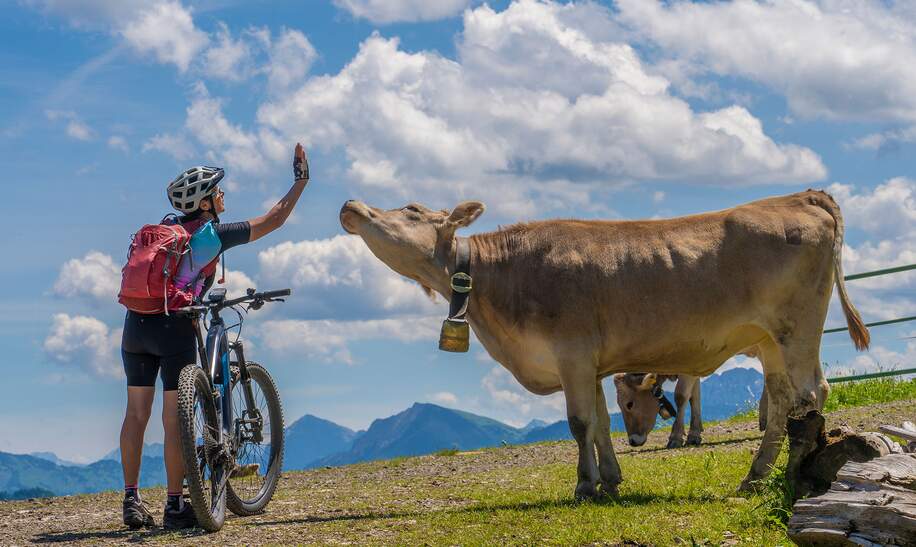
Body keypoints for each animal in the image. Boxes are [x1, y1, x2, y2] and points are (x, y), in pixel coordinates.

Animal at [339, 190, 869, 499]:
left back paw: (793, 478)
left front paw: (583, 486)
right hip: (770, 340)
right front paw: (609, 480)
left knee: (809, 394)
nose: (352, 206)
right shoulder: (587, 364)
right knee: (781, 400)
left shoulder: (571, 352)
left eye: (410, 210)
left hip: (797, 328)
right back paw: (755, 477)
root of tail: (800, 196)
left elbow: (578, 423)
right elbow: (597, 423)